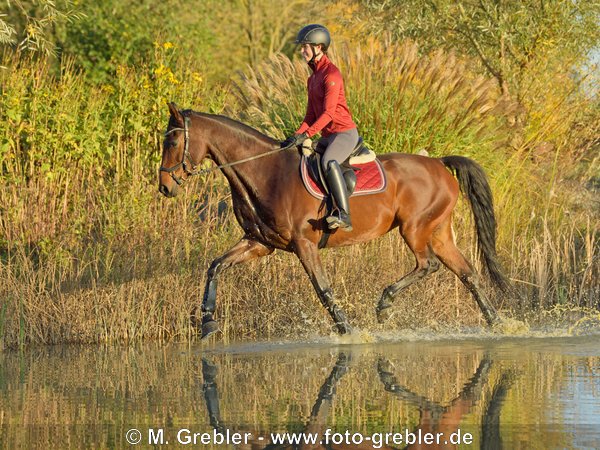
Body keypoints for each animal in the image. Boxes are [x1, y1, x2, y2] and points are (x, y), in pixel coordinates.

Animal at [158, 102, 506, 338]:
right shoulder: (259, 243)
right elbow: (215, 266)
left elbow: (322, 289)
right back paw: (497, 323)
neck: (265, 172)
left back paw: (384, 304)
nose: (164, 187)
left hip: (415, 228)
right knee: (468, 273)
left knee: (428, 265)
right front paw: (207, 321)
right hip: (438, 231)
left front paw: (348, 331)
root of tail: (439, 163)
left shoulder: (304, 245)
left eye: (172, 142)